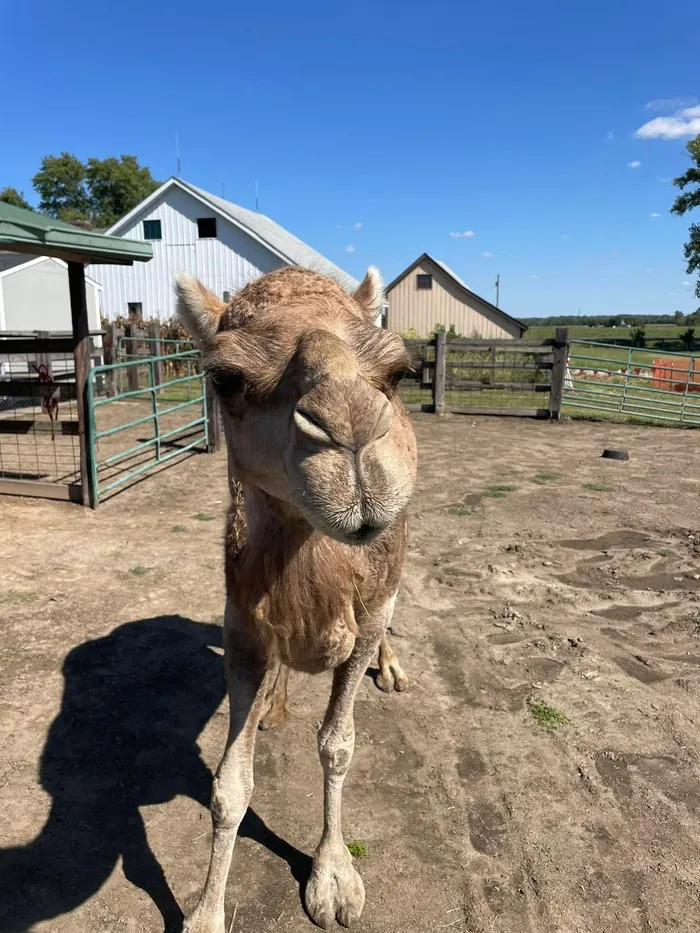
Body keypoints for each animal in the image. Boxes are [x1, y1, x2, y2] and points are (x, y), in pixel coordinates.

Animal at [175, 265, 417, 932]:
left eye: (398, 372)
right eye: (225, 378)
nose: (352, 430)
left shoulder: (362, 622)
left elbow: (337, 745)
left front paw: (332, 880)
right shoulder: (242, 632)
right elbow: (230, 785)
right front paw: (205, 913)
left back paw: (392, 670)